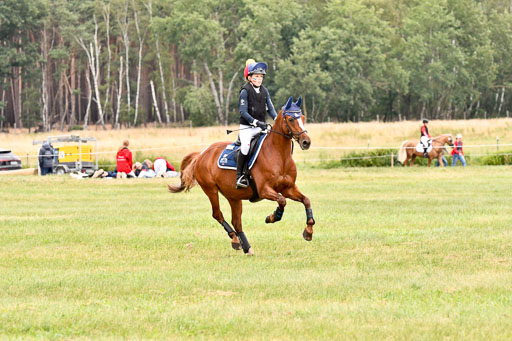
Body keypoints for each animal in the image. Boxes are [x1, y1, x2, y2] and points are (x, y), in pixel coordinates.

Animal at [168, 97, 314, 254]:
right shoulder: (264, 190)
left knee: (236, 221)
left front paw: (308, 231)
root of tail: (201, 154)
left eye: (303, 118)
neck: (279, 155)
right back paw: (235, 239)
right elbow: (282, 201)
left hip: (233, 197)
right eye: (291, 119)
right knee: (217, 214)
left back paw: (245, 246)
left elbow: (306, 200)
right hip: (211, 190)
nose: (306, 142)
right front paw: (272, 217)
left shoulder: (288, 188)